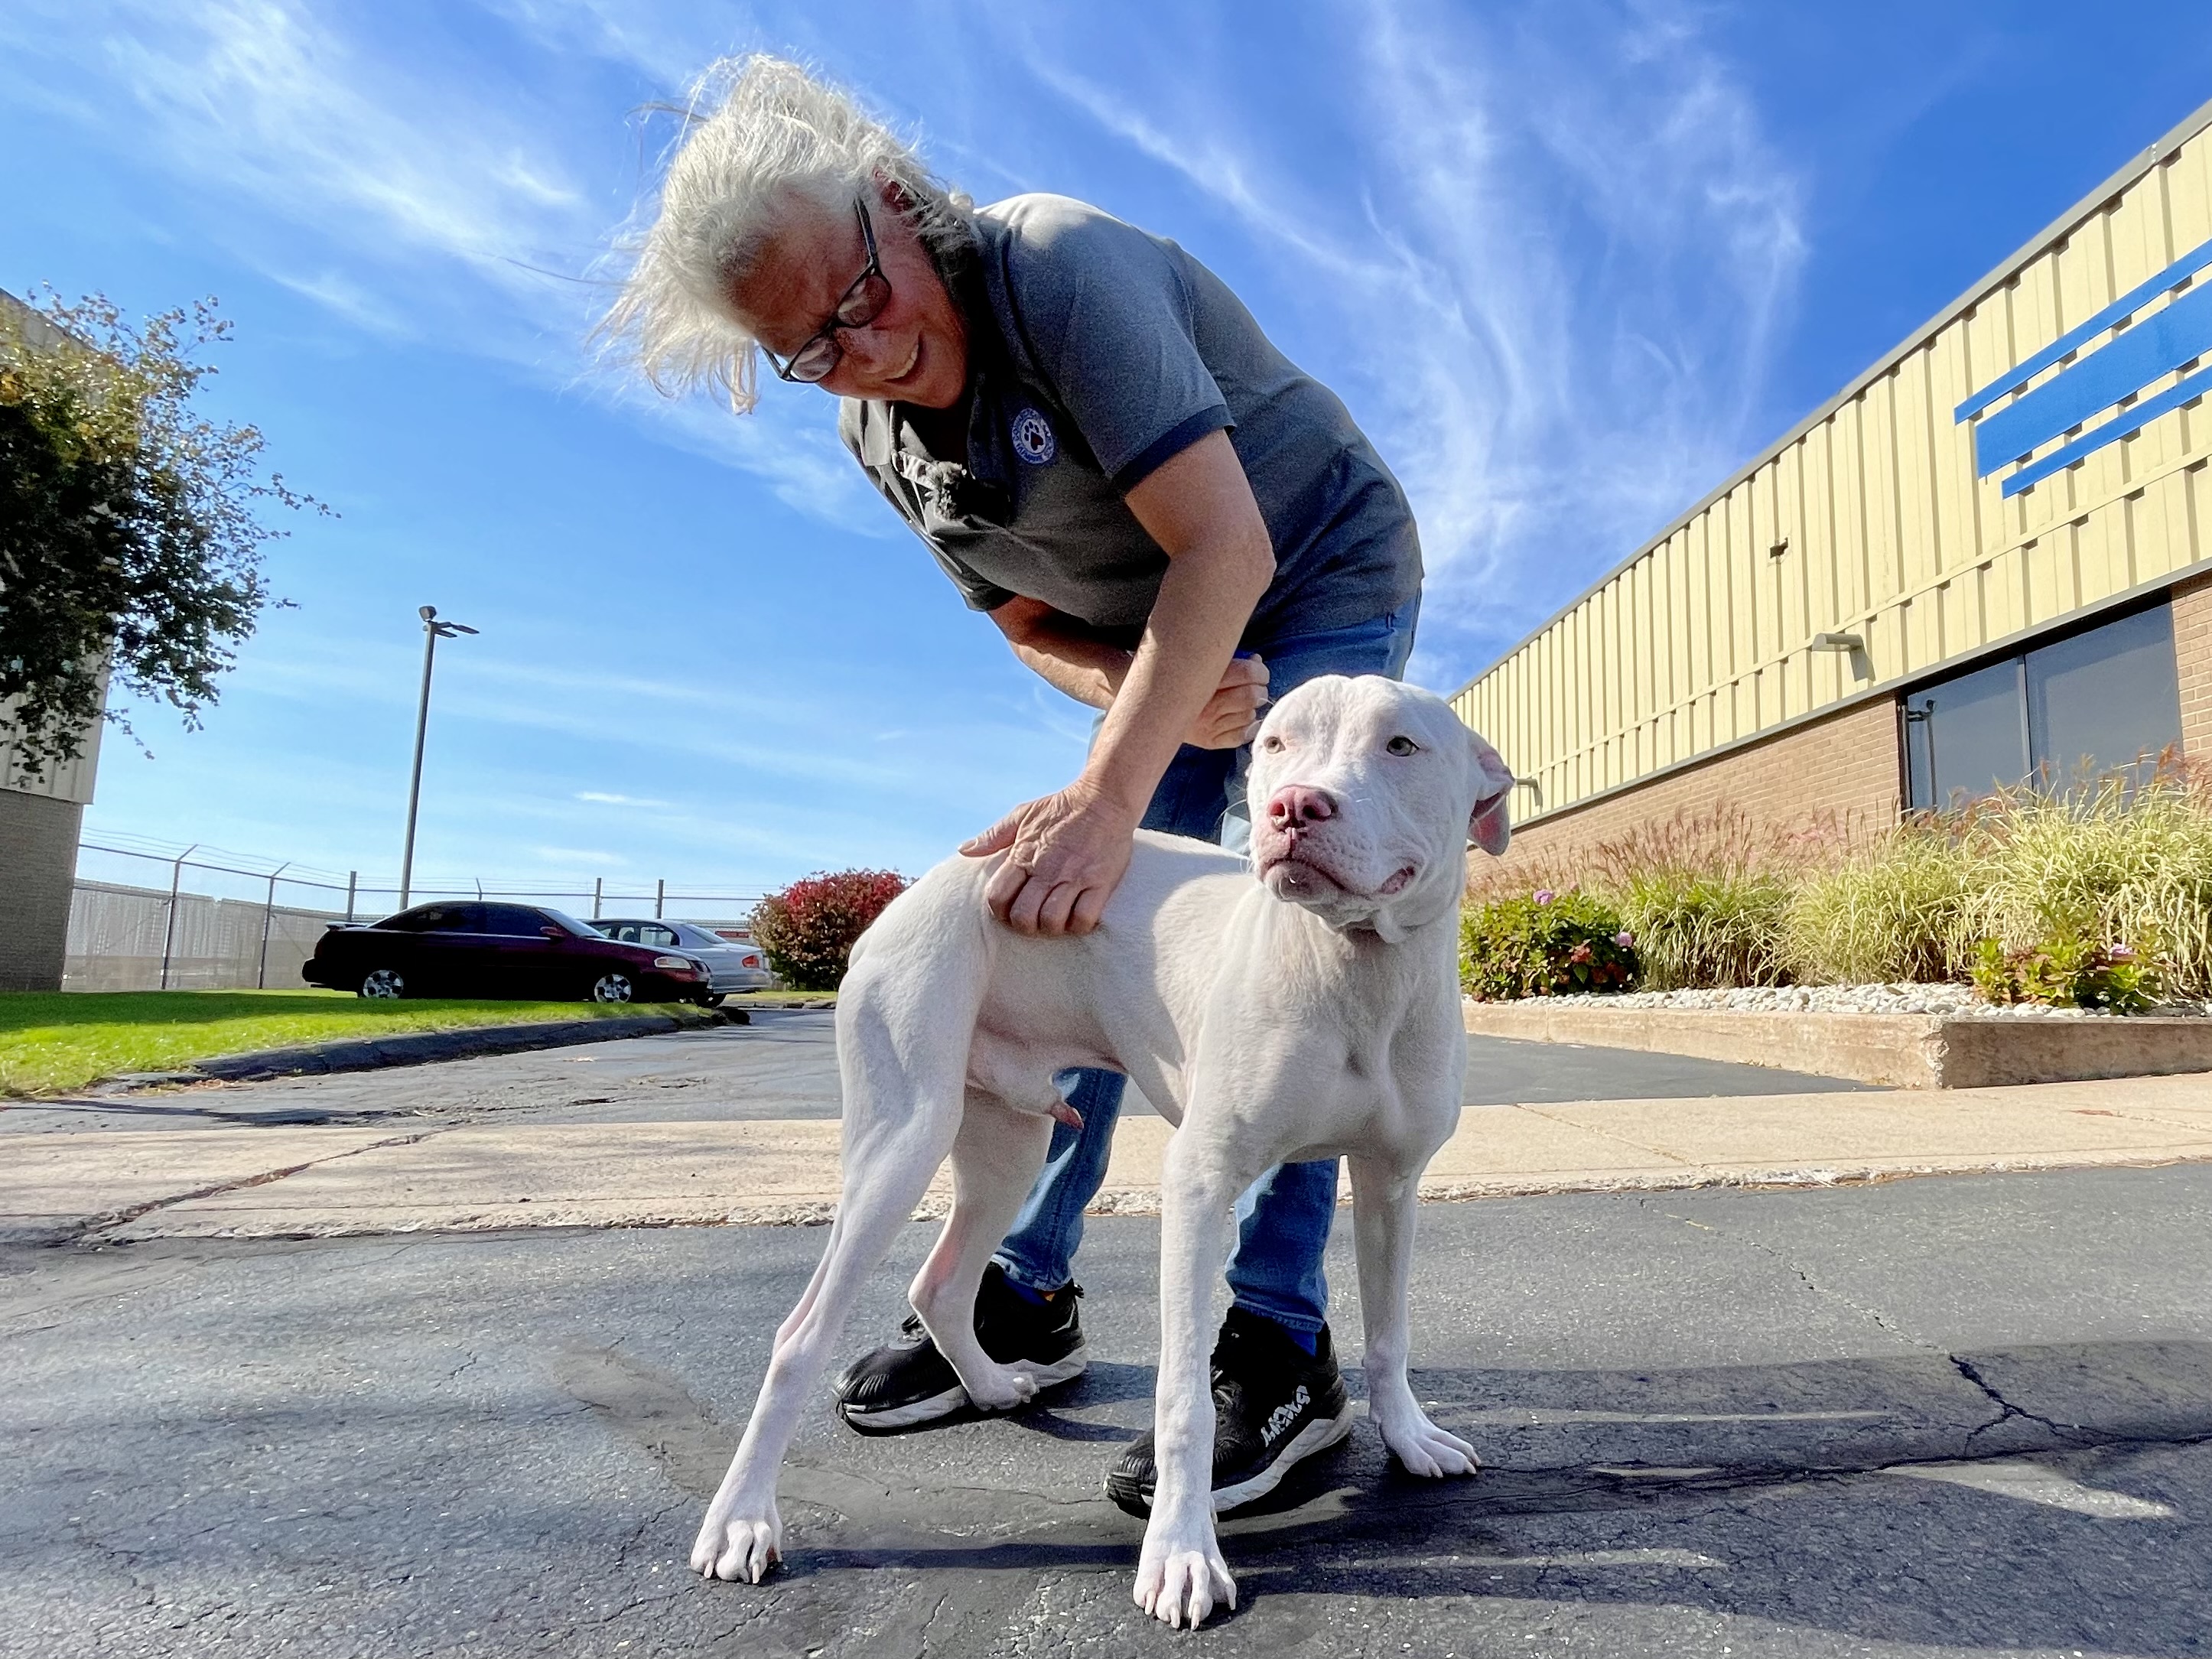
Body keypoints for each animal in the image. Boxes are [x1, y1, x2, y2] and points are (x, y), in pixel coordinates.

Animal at [690, 672, 1521, 1628]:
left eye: (1401, 746)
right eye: (1277, 743)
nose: (1293, 807)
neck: (1356, 967)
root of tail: (929, 881)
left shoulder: (1390, 1184)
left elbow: (1389, 1335)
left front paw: (1412, 1439)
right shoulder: (1199, 1185)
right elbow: (1185, 1401)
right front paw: (1182, 1554)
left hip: (1003, 1149)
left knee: (940, 1283)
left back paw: (991, 1385)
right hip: (901, 1140)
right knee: (799, 1337)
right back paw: (742, 1519)